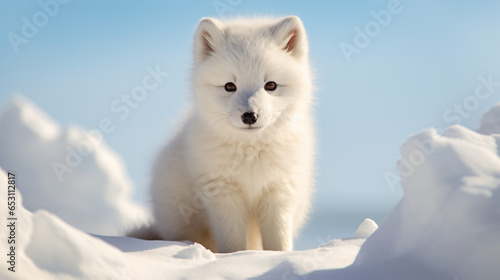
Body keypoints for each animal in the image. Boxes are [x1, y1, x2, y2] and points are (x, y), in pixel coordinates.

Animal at [131, 15, 314, 253]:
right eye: (229, 86)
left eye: (271, 85)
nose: (249, 116)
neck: (251, 154)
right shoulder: (223, 195)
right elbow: (232, 242)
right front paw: (237, 257)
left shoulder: (279, 191)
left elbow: (278, 241)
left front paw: (276, 257)